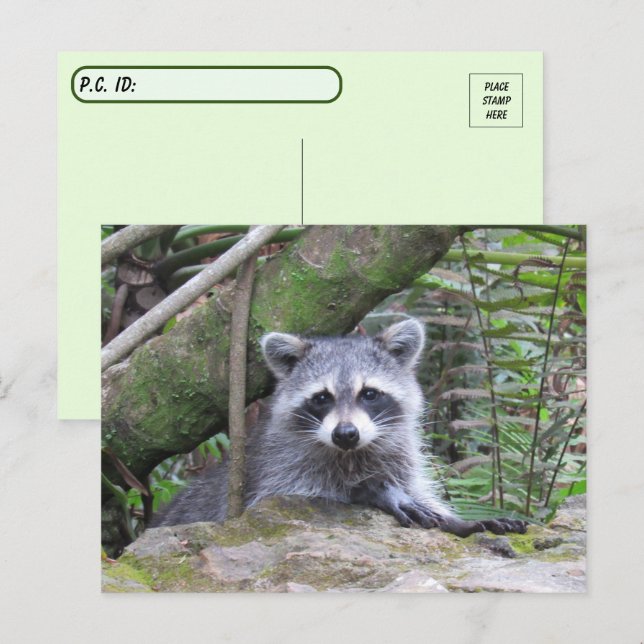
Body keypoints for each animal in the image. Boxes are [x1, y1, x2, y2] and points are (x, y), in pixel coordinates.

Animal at [153, 319, 526, 537]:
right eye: (322, 398)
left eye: (369, 394)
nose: (345, 434)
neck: (352, 453)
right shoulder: (276, 467)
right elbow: (290, 495)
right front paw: (372, 490)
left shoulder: (399, 456)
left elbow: (417, 490)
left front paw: (458, 520)